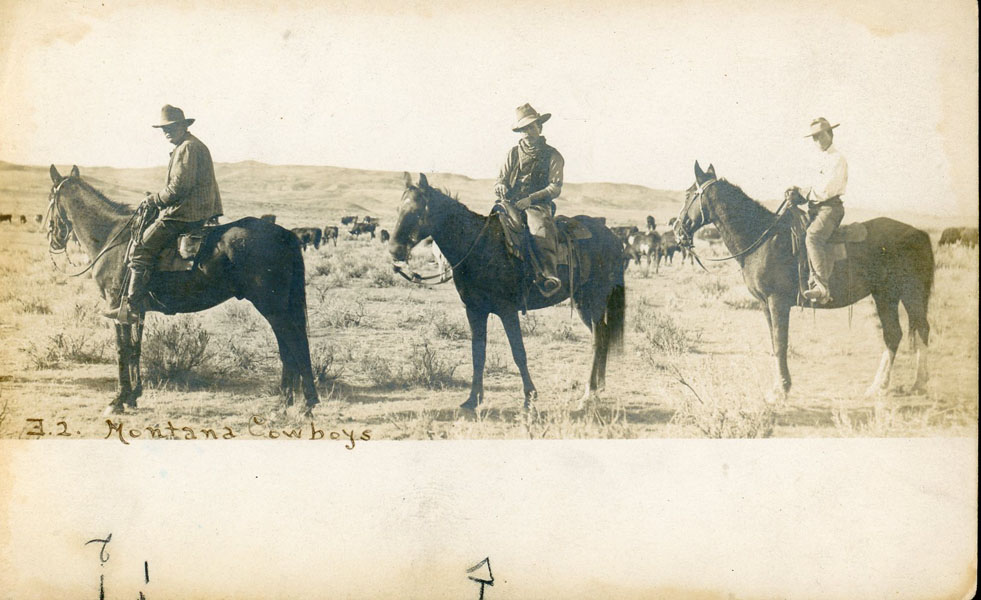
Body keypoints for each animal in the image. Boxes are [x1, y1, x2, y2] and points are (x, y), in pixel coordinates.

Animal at [47, 166, 318, 414]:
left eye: (50, 198)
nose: (54, 240)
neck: (111, 237)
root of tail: (285, 234)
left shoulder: (116, 307)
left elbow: (122, 350)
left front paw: (119, 400)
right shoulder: (137, 311)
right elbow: (135, 350)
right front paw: (134, 396)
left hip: (272, 307)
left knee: (293, 343)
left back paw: (302, 402)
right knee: (290, 345)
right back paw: (291, 401)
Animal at [388, 171, 624, 410]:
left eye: (418, 211)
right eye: (399, 209)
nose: (394, 250)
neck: (480, 246)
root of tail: (612, 237)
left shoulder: (507, 310)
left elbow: (518, 352)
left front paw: (529, 397)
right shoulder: (474, 310)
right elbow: (478, 353)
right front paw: (473, 398)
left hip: (594, 298)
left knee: (597, 340)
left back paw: (588, 393)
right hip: (582, 301)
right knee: (602, 335)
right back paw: (598, 388)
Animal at [672, 162, 936, 400]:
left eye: (688, 194)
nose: (677, 229)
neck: (763, 238)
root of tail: (919, 233)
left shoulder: (777, 302)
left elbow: (781, 343)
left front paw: (781, 391)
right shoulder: (765, 304)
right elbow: (774, 343)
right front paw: (779, 386)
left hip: (908, 292)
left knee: (918, 329)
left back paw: (914, 384)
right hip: (885, 295)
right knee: (895, 334)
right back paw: (882, 386)